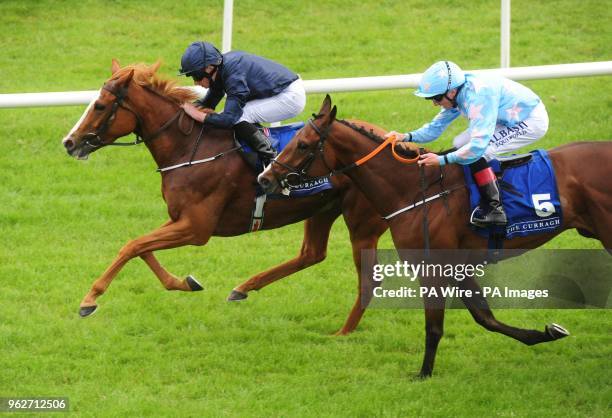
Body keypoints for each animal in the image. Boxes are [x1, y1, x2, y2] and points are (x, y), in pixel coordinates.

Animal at [62, 61, 388, 334]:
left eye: (100, 106)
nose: (69, 142)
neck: (189, 148)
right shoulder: (179, 219)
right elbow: (141, 246)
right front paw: (185, 282)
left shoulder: (196, 228)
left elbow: (132, 246)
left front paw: (89, 300)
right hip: (323, 208)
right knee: (312, 253)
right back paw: (244, 287)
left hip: (362, 222)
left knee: (367, 278)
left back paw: (344, 331)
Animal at [260, 94, 612, 376]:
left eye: (302, 144)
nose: (265, 178)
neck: (414, 190)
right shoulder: (457, 267)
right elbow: (485, 317)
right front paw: (547, 332)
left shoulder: (432, 268)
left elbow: (434, 326)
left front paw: (423, 374)